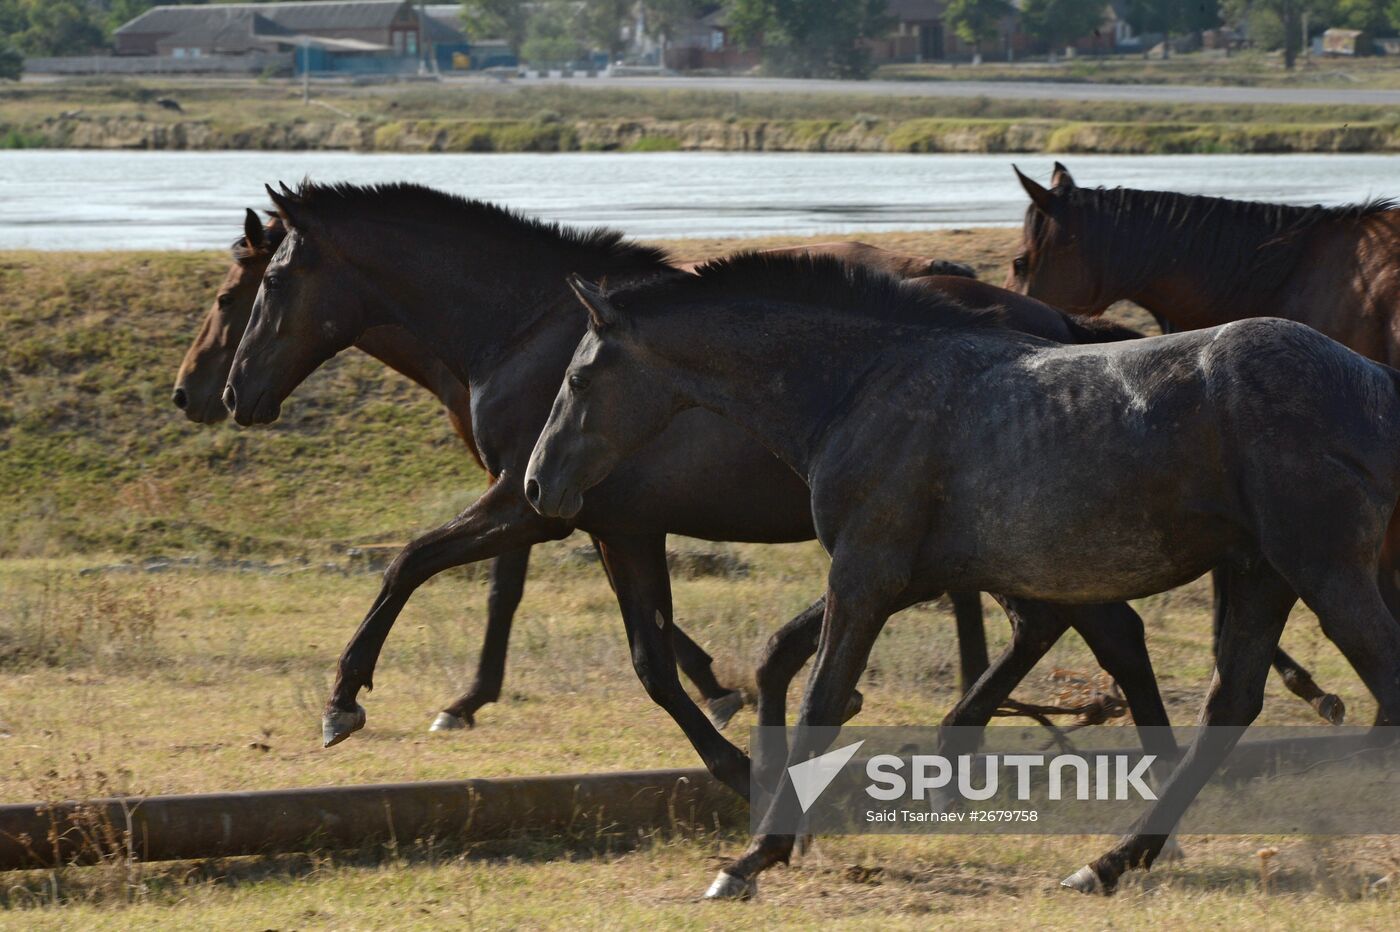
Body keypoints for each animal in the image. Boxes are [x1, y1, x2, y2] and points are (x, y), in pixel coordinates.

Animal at [218, 181, 1176, 800]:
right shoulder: (603, 521)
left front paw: (346, 700)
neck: (523, 329)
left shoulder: (535, 505)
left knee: (1090, 628)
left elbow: (413, 565)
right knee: (1078, 627)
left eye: (262, 286)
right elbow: (646, 650)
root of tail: (1062, 328)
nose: (227, 394)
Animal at [523, 251, 1400, 895]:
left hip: (1322, 569)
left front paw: (755, 858)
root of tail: (1375, 385)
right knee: (1231, 704)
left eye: (578, 378)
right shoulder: (900, 576)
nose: (536, 484)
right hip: (1263, 573)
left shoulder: (865, 574)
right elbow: (798, 665)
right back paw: (1109, 862)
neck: (862, 384)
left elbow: (821, 699)